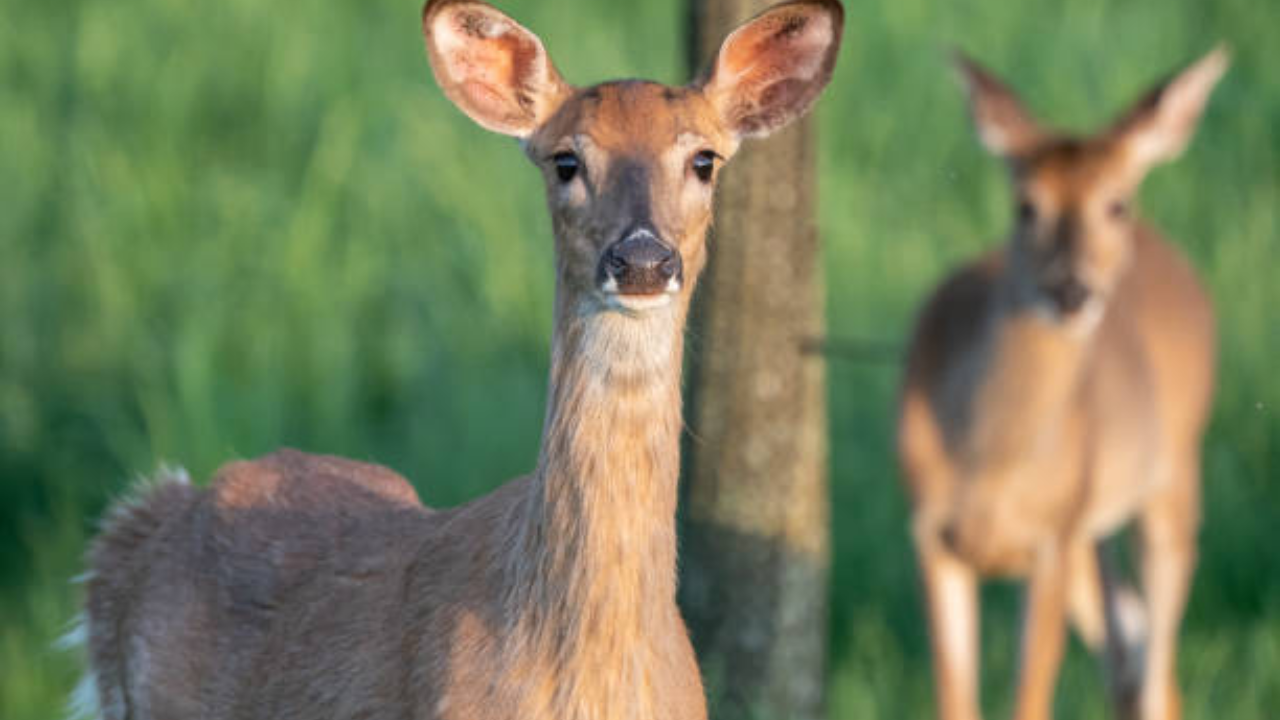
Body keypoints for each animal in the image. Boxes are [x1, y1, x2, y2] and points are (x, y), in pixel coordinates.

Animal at [896, 49, 1223, 717]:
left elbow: (1030, 696)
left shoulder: (1052, 538)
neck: (990, 464)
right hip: (1091, 532)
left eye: (1116, 204)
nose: (1071, 292)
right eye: (1026, 205)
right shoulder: (931, 533)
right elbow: (955, 698)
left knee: (1157, 658)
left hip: (1171, 480)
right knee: (1131, 646)